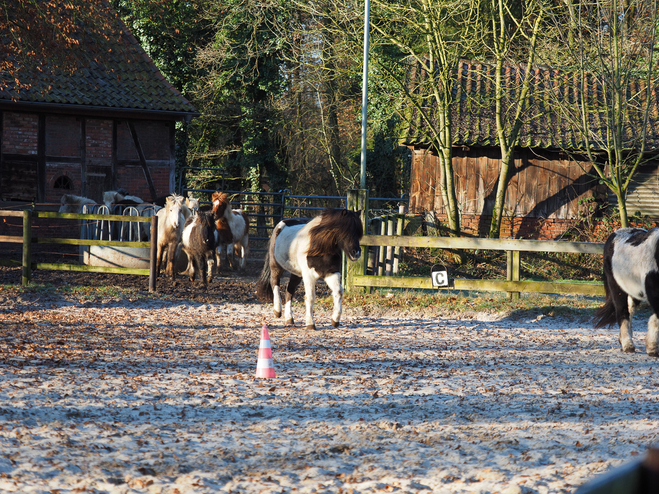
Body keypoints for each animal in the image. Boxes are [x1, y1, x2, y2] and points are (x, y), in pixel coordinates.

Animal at [596, 228, 659, 356]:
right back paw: (627, 345)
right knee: (622, 312)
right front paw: (652, 349)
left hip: (633, 292)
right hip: (617, 290)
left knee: (629, 311)